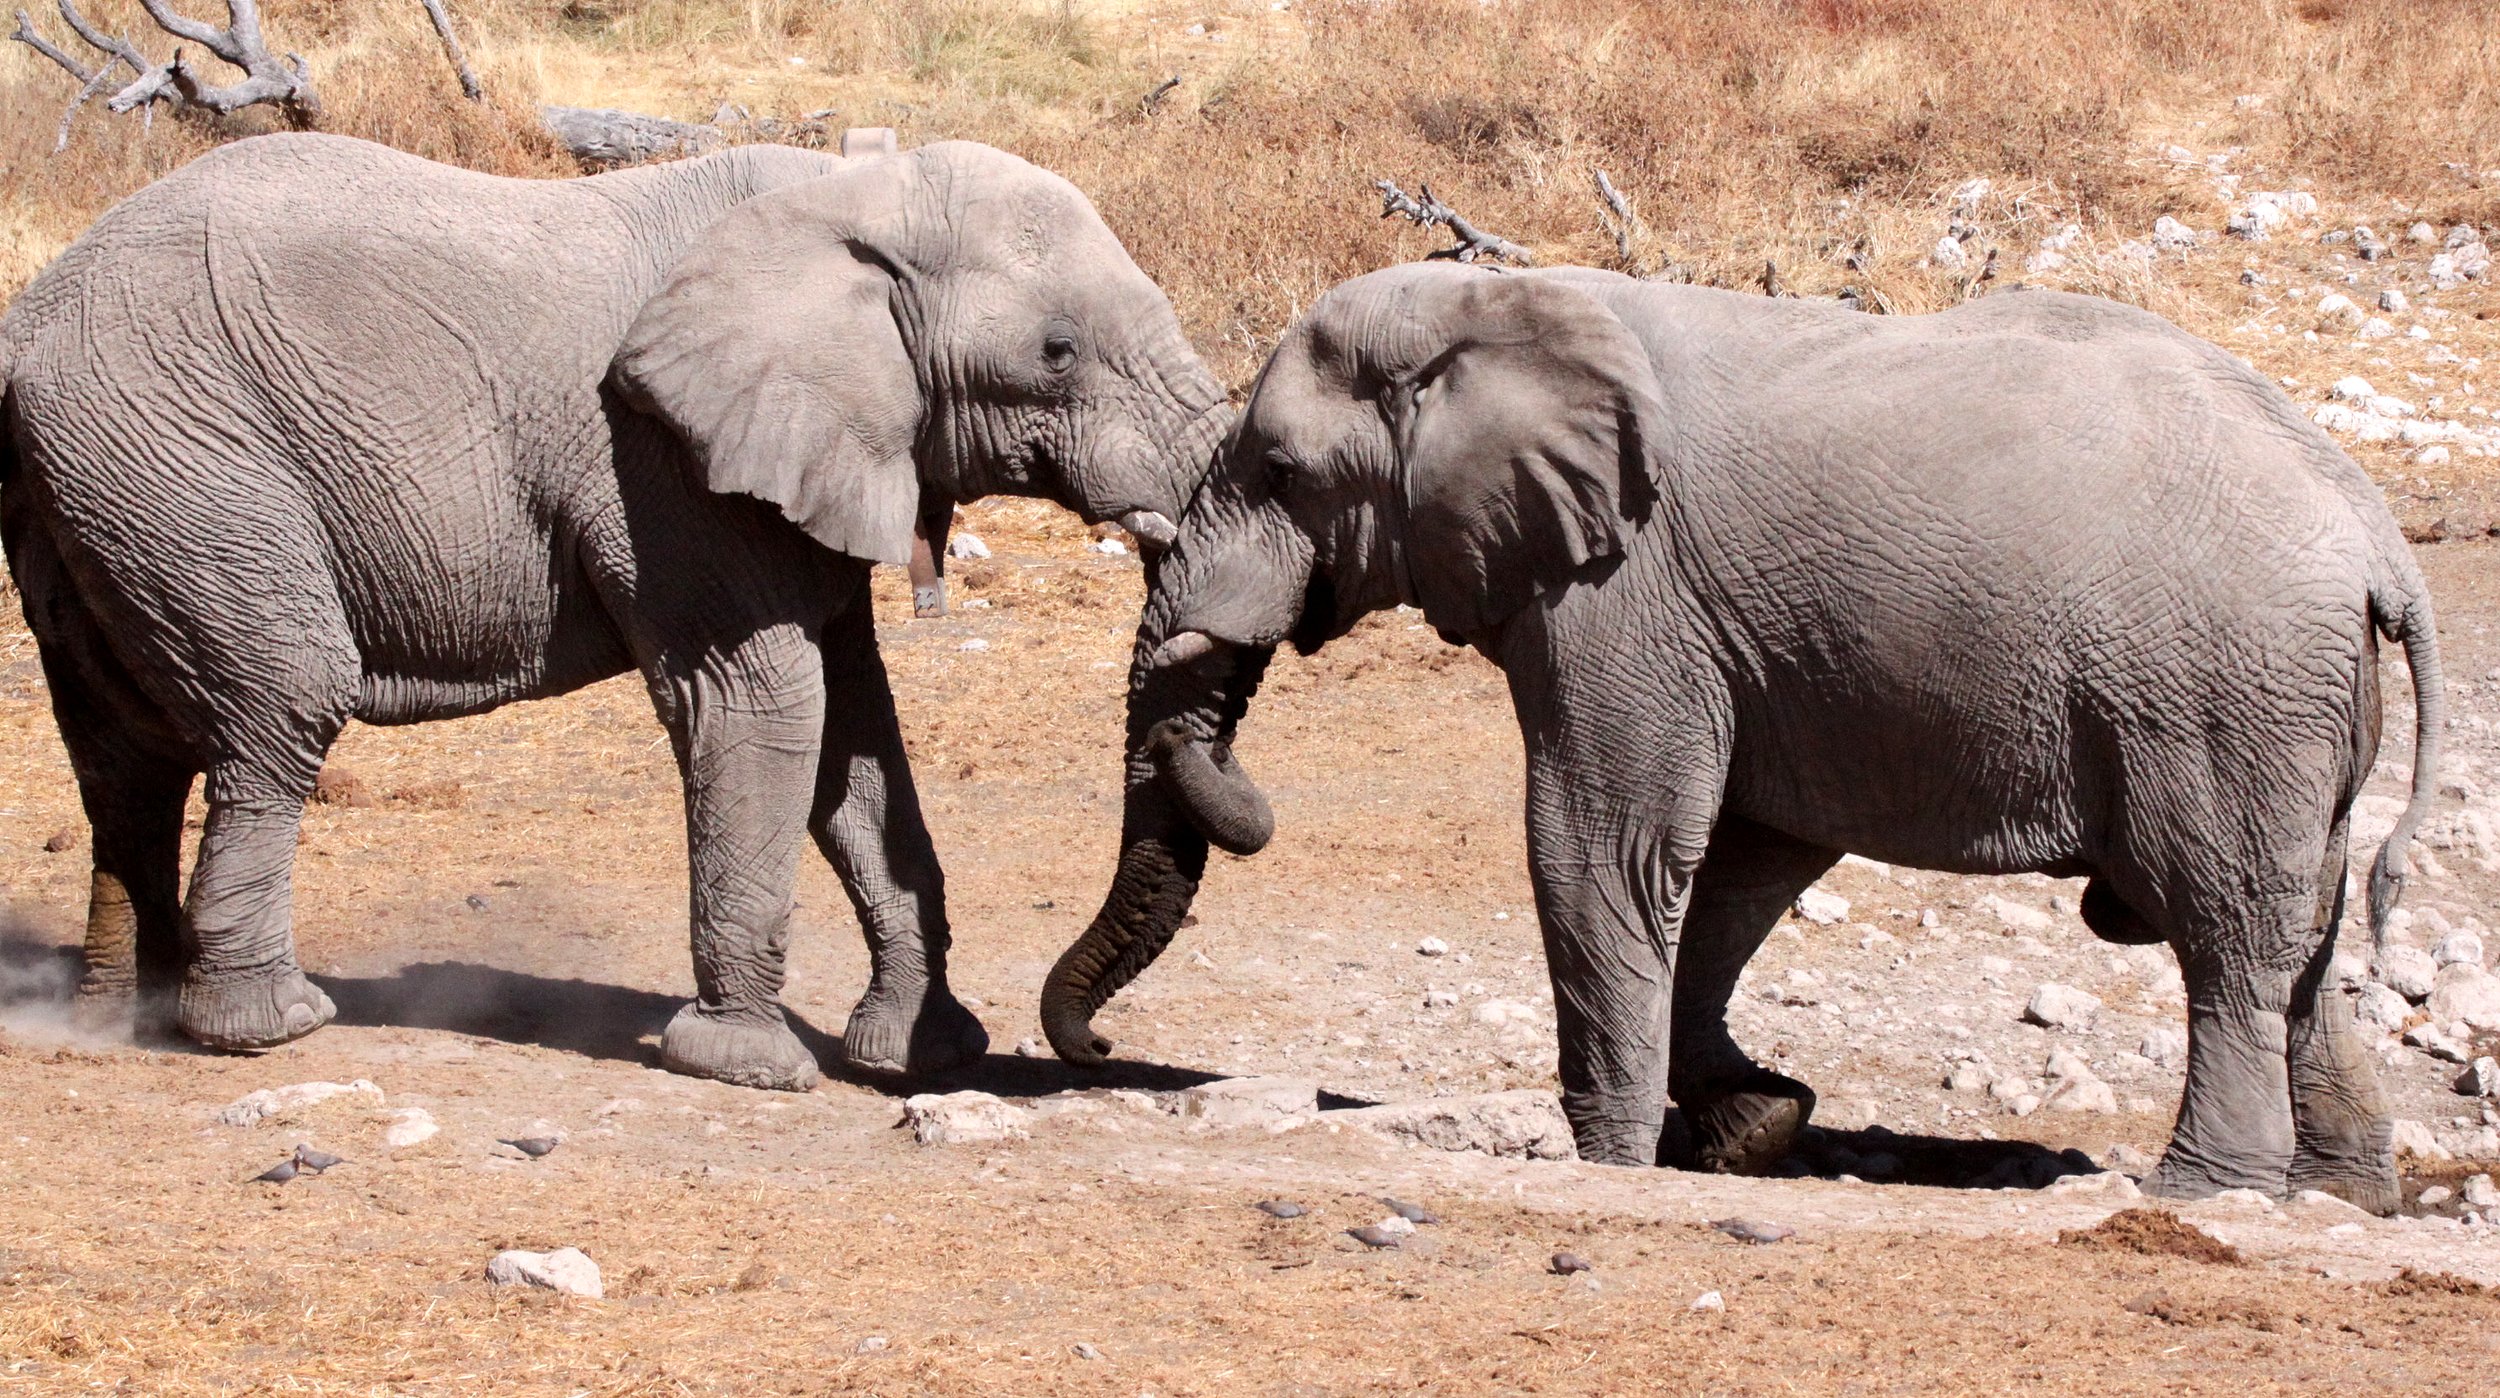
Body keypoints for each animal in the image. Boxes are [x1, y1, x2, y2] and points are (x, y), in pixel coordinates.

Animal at [0, 131, 1228, 1090]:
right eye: (1056, 354)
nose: (1094, 1049)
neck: (844, 195)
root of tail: (26, 327)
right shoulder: (669, 470)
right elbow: (762, 703)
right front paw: (751, 1067)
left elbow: (855, 733)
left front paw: (922, 1054)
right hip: (185, 462)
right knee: (281, 707)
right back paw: (267, 1027)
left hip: (99, 489)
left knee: (125, 753)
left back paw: (122, 1016)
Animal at [1040, 261, 2443, 1213]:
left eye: (1280, 471)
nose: (1097, 1050)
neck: (1504, 300)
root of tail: (2378, 535)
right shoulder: (1744, 643)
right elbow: (1742, 862)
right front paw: (1754, 1121)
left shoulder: (1624, 594)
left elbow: (1596, 843)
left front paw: (1605, 1160)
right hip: (2295, 708)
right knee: (2305, 939)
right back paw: (2343, 1193)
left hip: (2223, 698)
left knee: (2227, 934)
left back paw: (2203, 1193)